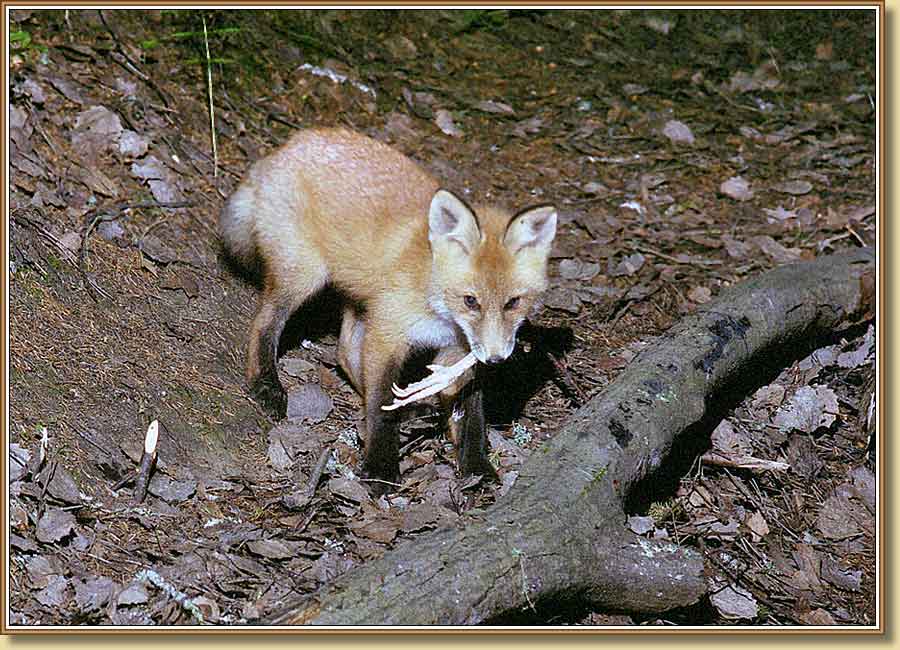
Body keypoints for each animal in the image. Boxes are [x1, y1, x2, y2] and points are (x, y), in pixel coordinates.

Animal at [220, 128, 557, 490]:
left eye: (513, 302)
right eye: (471, 301)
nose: (495, 359)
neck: (437, 306)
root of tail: (288, 146)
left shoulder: (455, 352)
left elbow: (471, 417)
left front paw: (477, 468)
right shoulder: (387, 335)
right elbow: (381, 405)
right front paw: (380, 467)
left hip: (358, 298)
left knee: (344, 353)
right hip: (303, 277)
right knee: (264, 324)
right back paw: (266, 384)